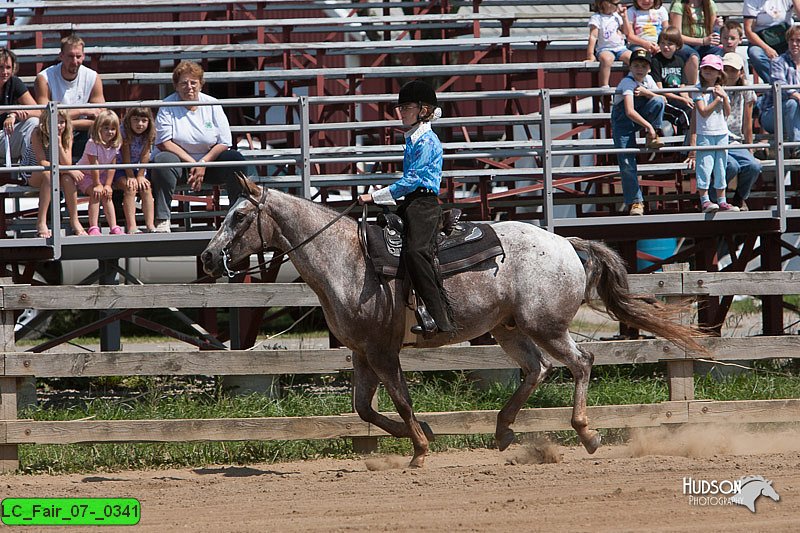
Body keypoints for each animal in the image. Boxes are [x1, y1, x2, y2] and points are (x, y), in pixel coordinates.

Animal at [202, 178, 708, 466]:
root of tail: (567, 243)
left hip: (545, 325)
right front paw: (424, 435)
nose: (207, 257)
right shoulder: (363, 352)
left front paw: (420, 451)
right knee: (537, 369)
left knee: (580, 362)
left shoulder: (383, 351)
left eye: (239, 216)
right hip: (508, 329)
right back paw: (502, 431)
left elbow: (400, 401)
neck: (346, 259)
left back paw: (587, 434)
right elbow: (365, 409)